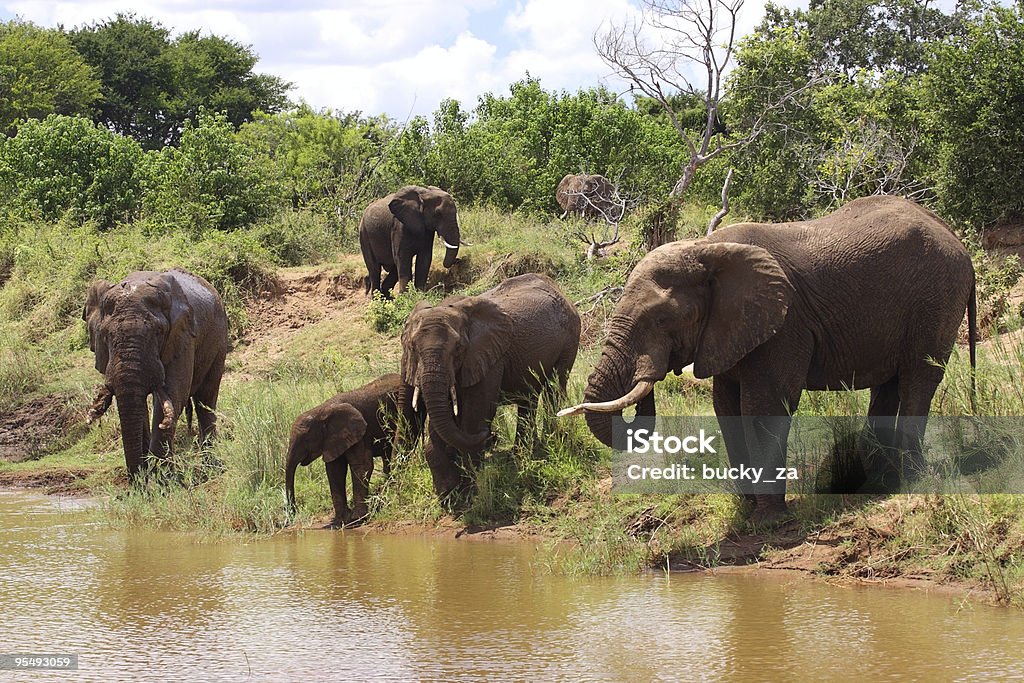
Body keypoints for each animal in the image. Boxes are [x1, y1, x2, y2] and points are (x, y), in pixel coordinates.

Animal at [81, 268, 230, 481]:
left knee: (206, 398)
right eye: (105, 335)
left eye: (158, 332)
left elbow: (174, 394)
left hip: (219, 339)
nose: (137, 482)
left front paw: (163, 481)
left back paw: (210, 469)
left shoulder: (182, 338)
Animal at [282, 374, 417, 528]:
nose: (288, 520)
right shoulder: (333, 439)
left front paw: (357, 518)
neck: (321, 411)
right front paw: (341, 521)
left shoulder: (359, 431)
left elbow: (362, 465)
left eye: (305, 440)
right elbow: (335, 470)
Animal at [561, 197, 974, 524]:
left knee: (919, 378)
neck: (706, 248)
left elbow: (763, 406)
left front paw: (770, 521)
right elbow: (726, 405)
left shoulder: (784, 324)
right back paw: (877, 483)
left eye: (662, 320)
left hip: (936, 298)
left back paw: (911, 478)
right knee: (889, 386)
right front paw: (748, 510)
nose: (647, 373)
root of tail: (956, 238)